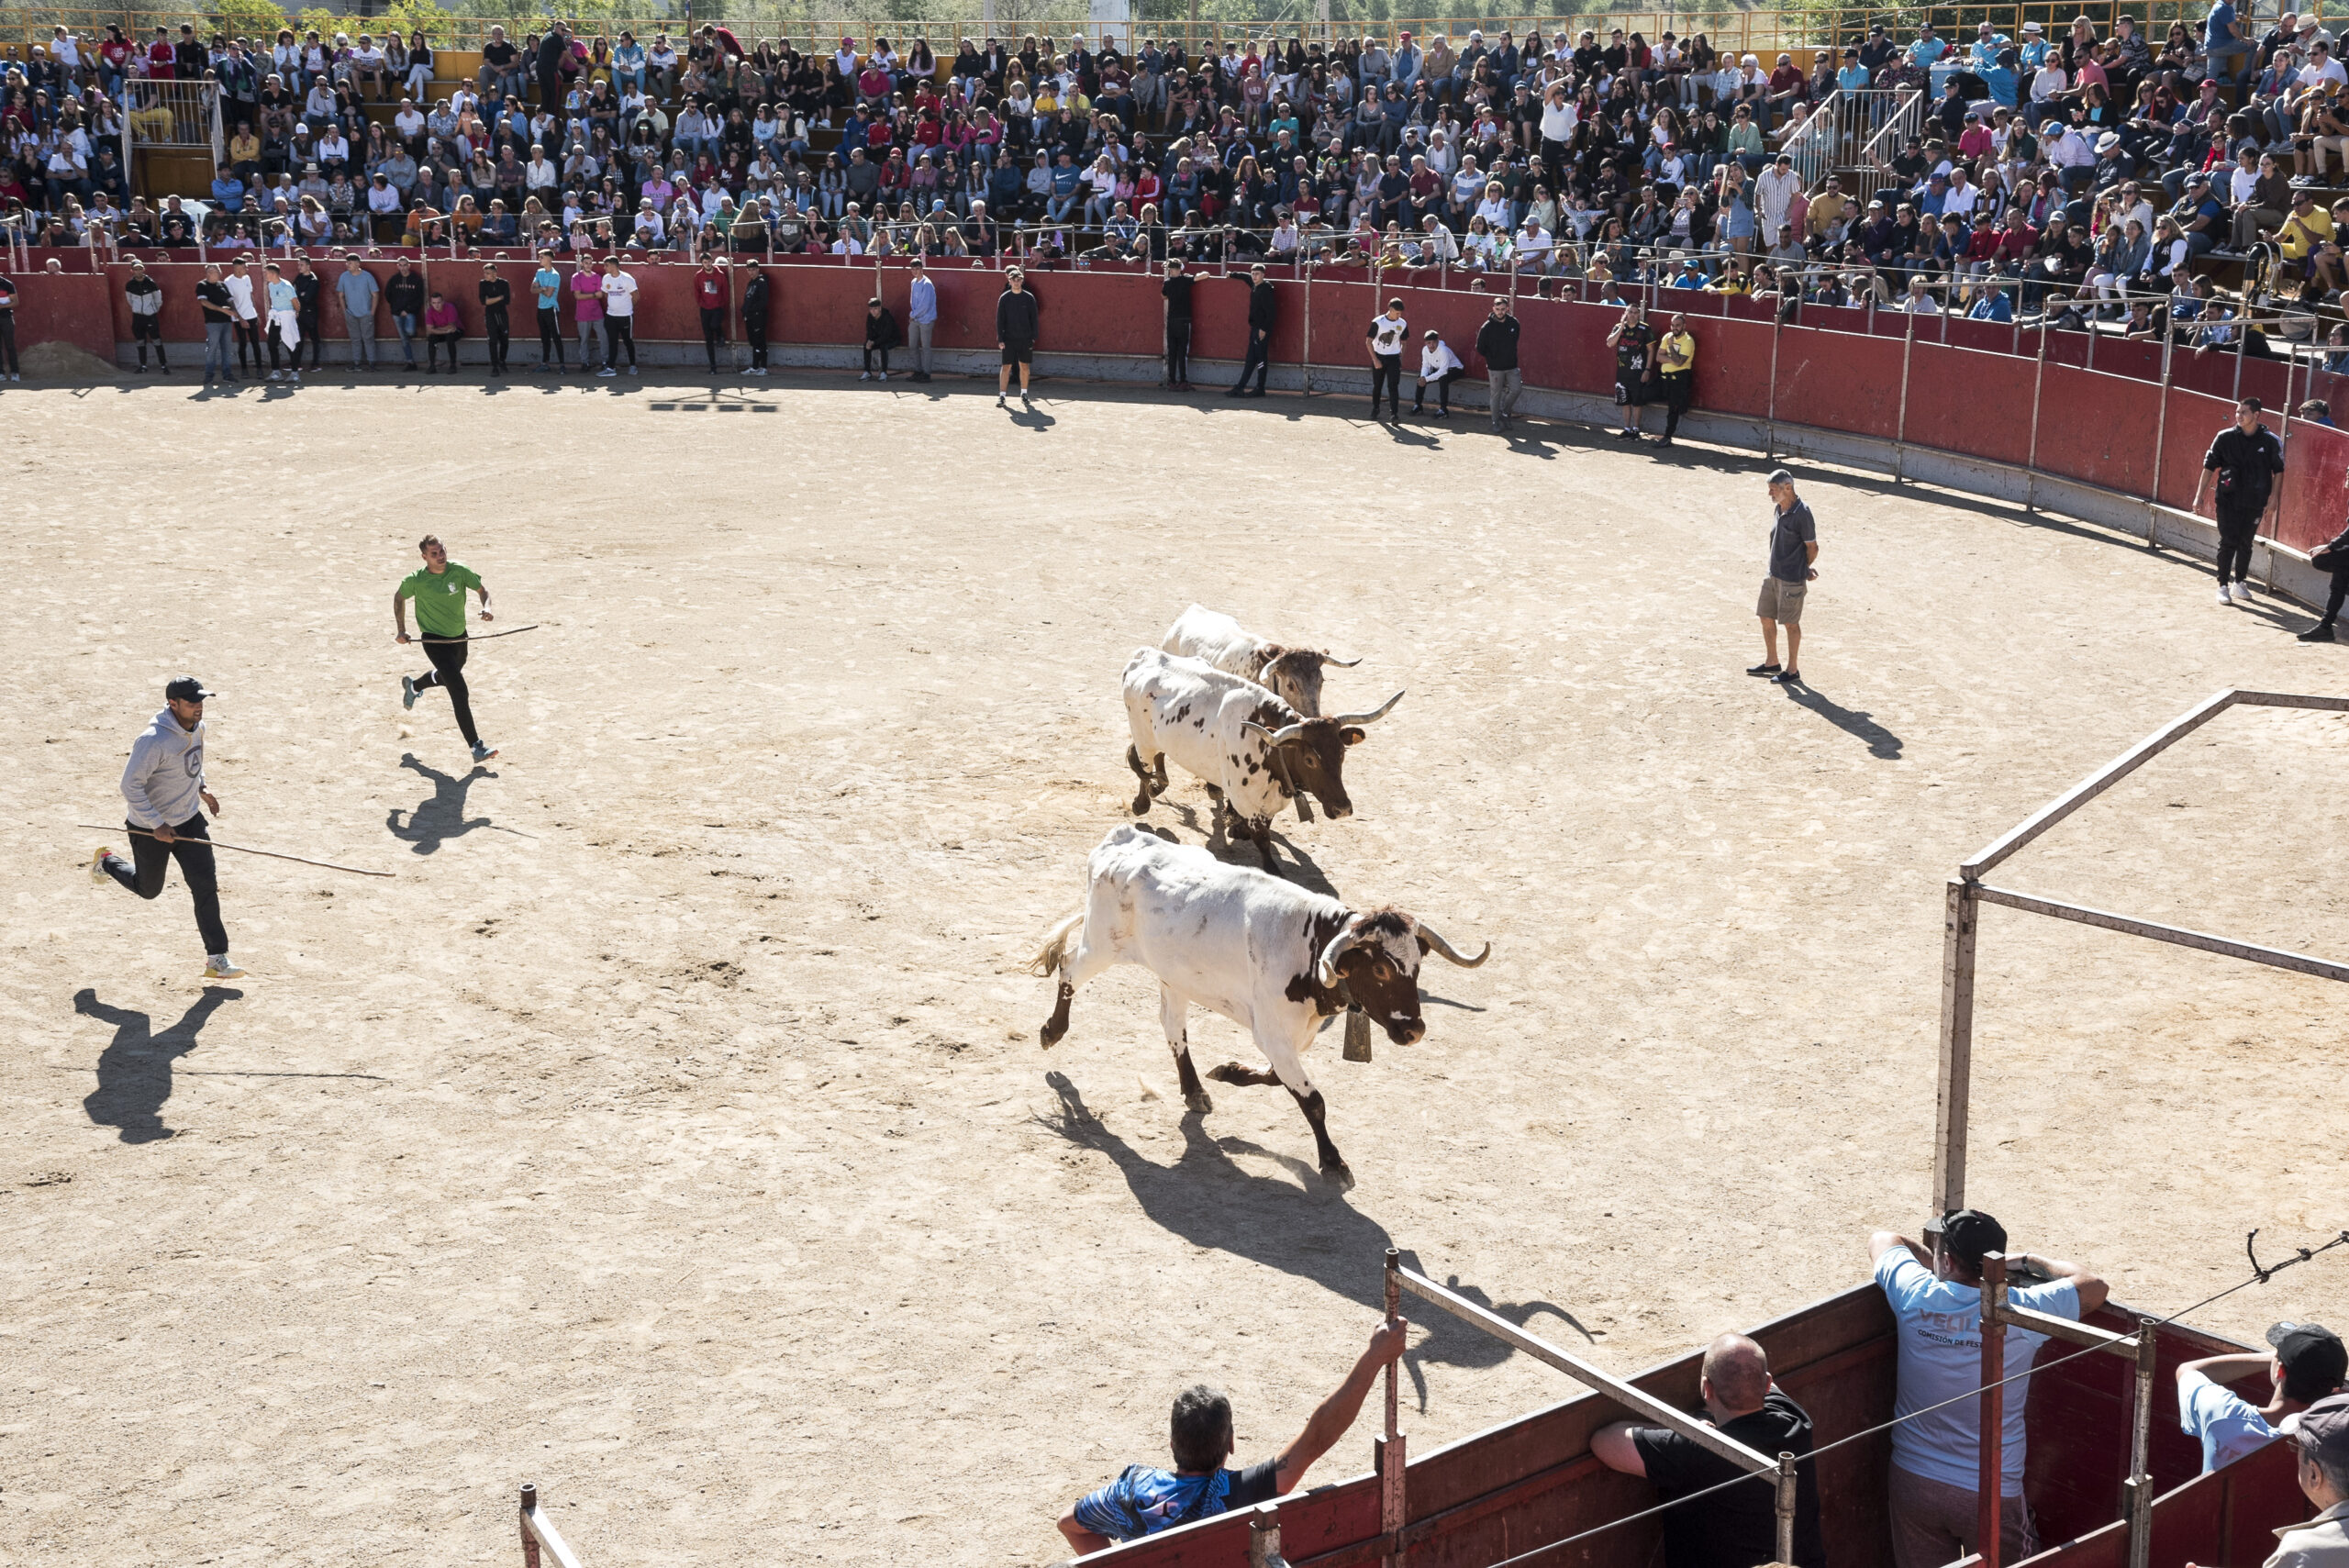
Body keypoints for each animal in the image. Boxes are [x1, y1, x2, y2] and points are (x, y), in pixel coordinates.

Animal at [1029, 826, 1484, 1183]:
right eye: (1381, 971)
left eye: (1417, 966)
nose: (1413, 1030)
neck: (1309, 944)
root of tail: (1121, 838)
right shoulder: (1274, 1034)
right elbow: (1312, 1100)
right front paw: (1333, 1162)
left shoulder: (1289, 1036)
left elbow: (1276, 1078)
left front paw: (1230, 1072)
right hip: (1102, 946)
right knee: (1068, 968)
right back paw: (1051, 1031)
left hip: (1173, 976)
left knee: (1172, 1026)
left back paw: (1195, 1089)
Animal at [1118, 648, 1390, 877]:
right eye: (1310, 759)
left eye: (1342, 753)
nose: (1342, 808)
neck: (1271, 752)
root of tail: (1144, 656)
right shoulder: (1245, 799)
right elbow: (1263, 838)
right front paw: (1272, 869)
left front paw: (1238, 829)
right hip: (1143, 738)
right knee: (1143, 764)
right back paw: (1142, 802)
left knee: (1156, 758)